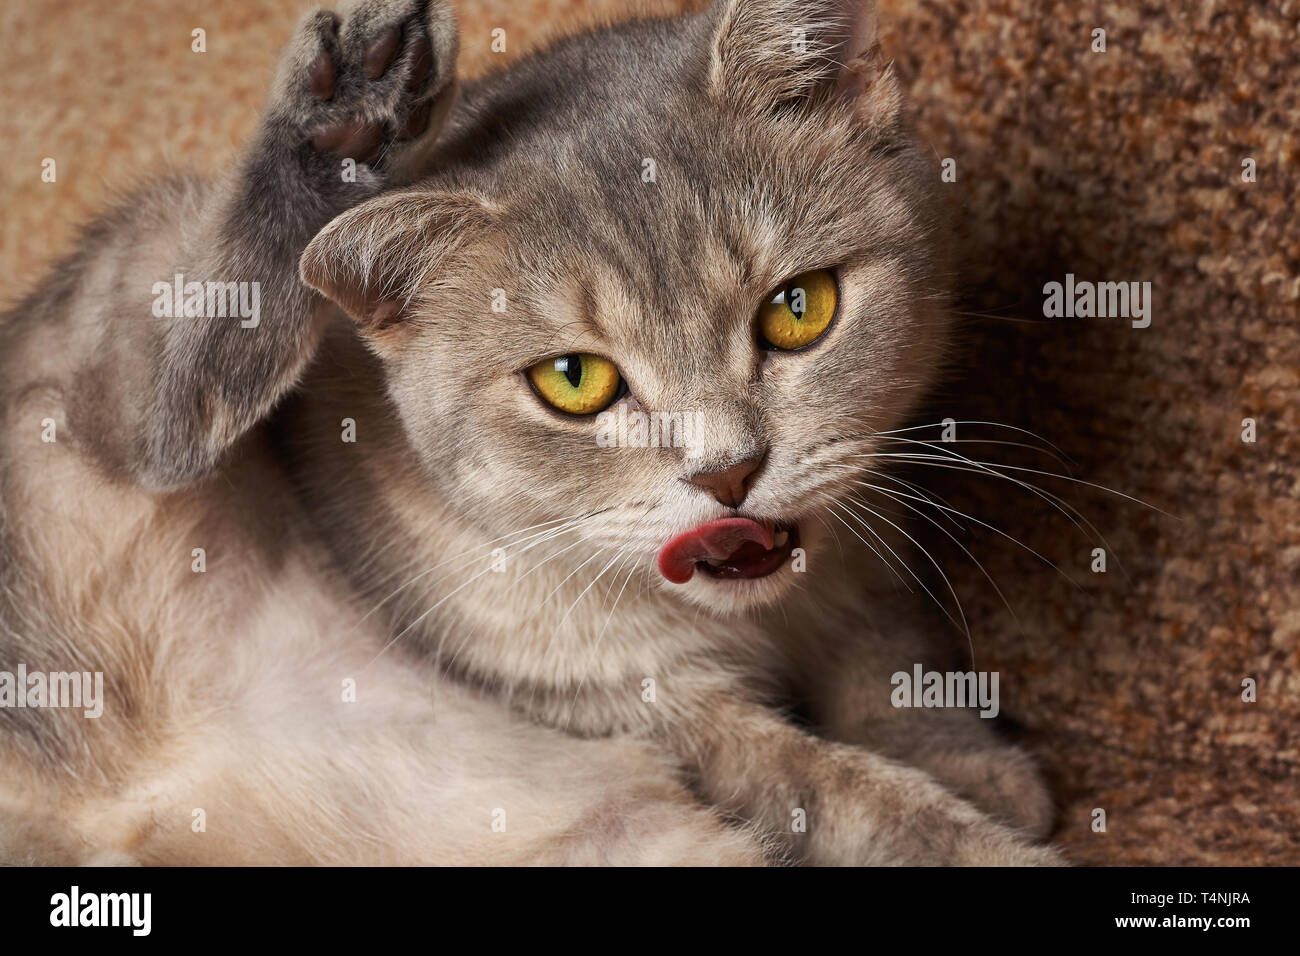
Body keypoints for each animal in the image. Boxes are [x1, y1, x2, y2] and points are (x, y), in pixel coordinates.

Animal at [0, 0, 1055, 868]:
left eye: (799, 308)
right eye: (574, 382)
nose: (729, 472)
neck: (770, 616)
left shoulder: (868, 542)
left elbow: (887, 652)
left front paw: (976, 762)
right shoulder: (647, 716)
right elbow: (859, 803)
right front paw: (992, 829)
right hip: (115, 324)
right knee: (162, 415)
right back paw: (341, 117)